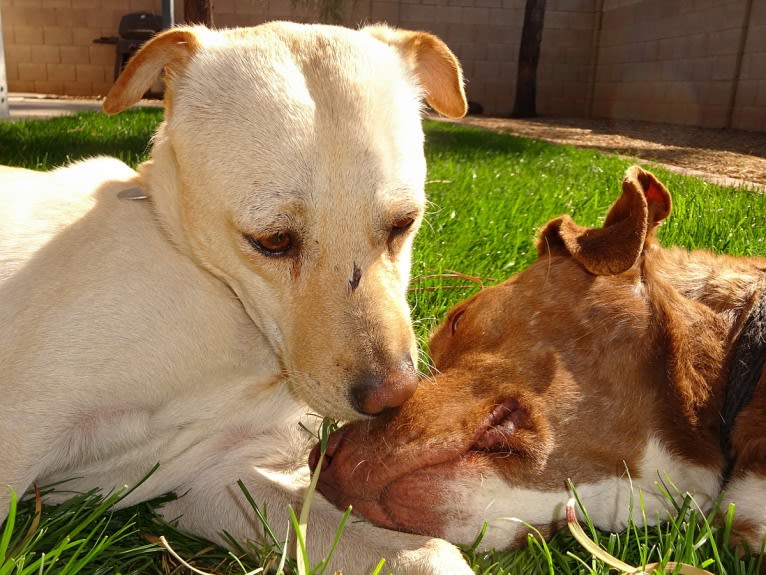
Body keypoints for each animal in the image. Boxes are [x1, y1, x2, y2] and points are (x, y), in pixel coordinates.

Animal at [0, 22, 474, 575]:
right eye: (273, 241)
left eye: (404, 223)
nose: (393, 398)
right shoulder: (17, 437)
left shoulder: (216, 474)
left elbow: (427, 554)